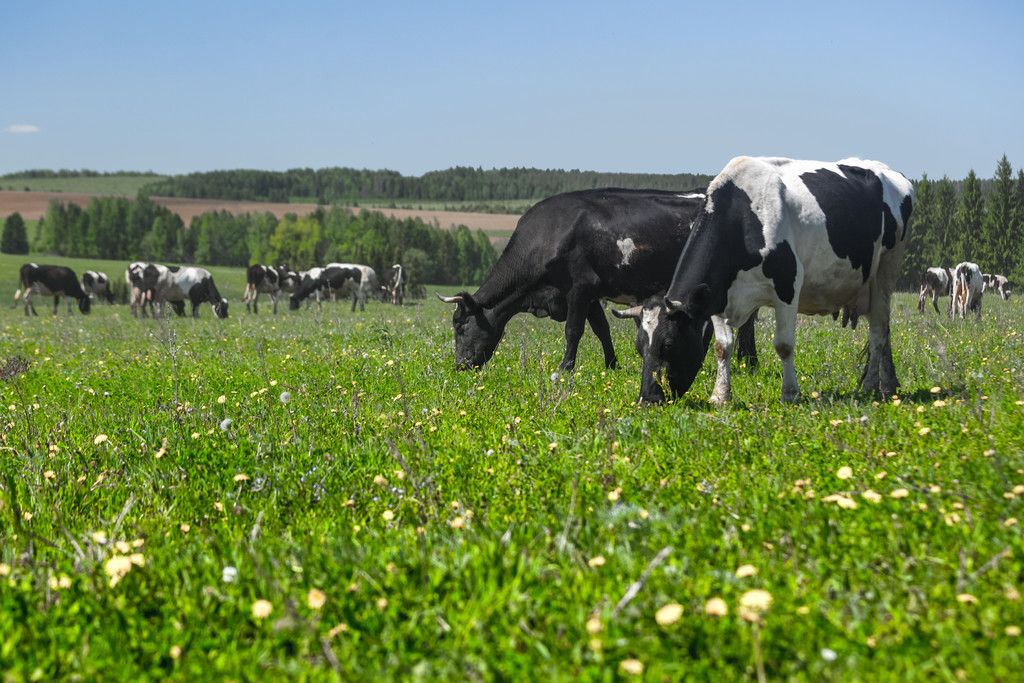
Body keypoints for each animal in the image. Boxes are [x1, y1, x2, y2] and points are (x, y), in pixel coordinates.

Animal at [434, 185, 761, 374]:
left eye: (460, 326)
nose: (460, 366)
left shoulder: (581, 286)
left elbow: (573, 330)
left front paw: (564, 369)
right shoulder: (590, 293)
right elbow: (601, 329)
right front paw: (612, 365)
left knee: (747, 323)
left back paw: (750, 363)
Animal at [634, 156, 917, 405]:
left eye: (668, 344)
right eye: (639, 347)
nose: (647, 399)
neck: (742, 216)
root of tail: (892, 172)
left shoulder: (787, 286)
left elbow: (784, 345)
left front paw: (790, 394)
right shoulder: (717, 294)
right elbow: (722, 346)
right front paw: (720, 396)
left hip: (885, 273)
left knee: (878, 333)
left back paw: (871, 387)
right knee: (884, 331)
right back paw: (890, 385)